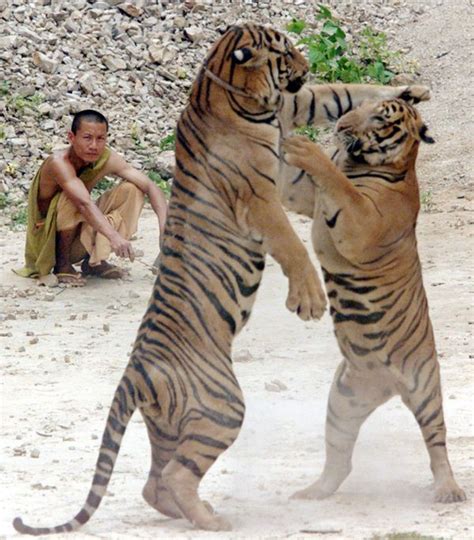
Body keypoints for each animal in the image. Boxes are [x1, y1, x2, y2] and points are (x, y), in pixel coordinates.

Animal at [12, 23, 434, 532]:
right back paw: (215, 521)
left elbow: (338, 93)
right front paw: (309, 299)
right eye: (285, 51)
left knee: (156, 481)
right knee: (173, 476)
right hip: (223, 407)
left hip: (169, 425)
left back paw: (199, 513)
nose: (306, 63)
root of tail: (134, 374)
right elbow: (292, 245)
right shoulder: (260, 197)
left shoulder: (292, 110)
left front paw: (411, 91)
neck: (230, 93)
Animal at [282, 99, 466, 504]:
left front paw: (307, 148)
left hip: (426, 388)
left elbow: (341, 186)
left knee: (437, 444)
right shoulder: (306, 199)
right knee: (340, 457)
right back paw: (313, 492)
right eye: (362, 105)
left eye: (381, 116)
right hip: (343, 399)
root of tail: (388, 387)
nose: (341, 124)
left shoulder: (363, 222)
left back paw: (449, 490)